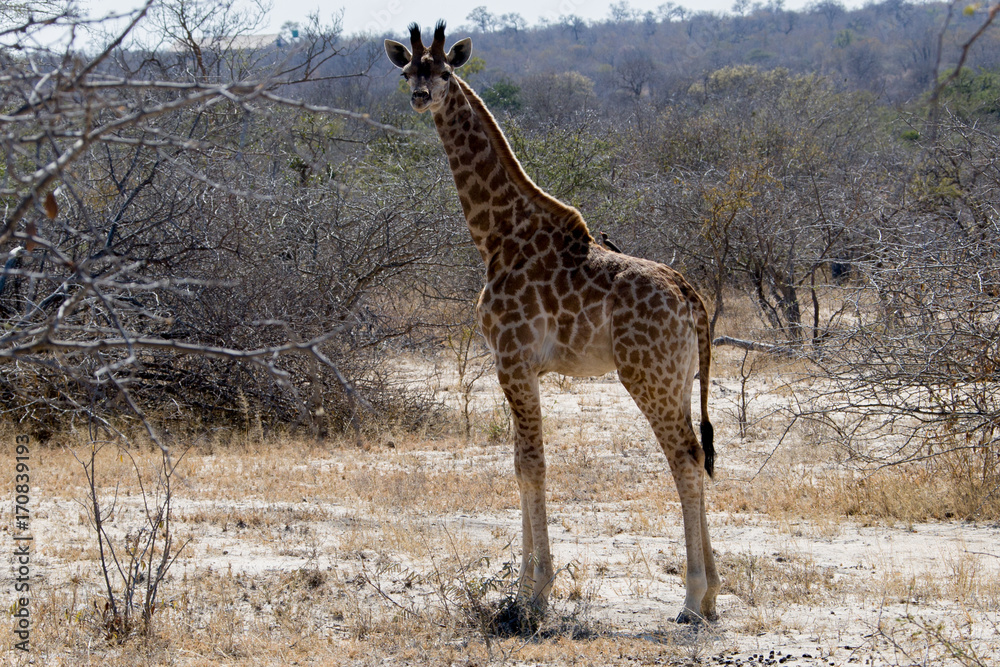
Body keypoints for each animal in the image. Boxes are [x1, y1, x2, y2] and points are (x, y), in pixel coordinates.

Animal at [386, 21, 719, 624]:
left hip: (646, 375)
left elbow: (530, 466)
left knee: (683, 459)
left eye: (443, 71)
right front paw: (526, 591)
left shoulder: (512, 359)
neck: (497, 236)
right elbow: (521, 465)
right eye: (406, 72)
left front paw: (532, 597)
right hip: (680, 376)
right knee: (699, 453)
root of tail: (690, 294)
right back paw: (712, 598)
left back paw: (690, 599)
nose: (421, 97)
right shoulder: (523, 367)